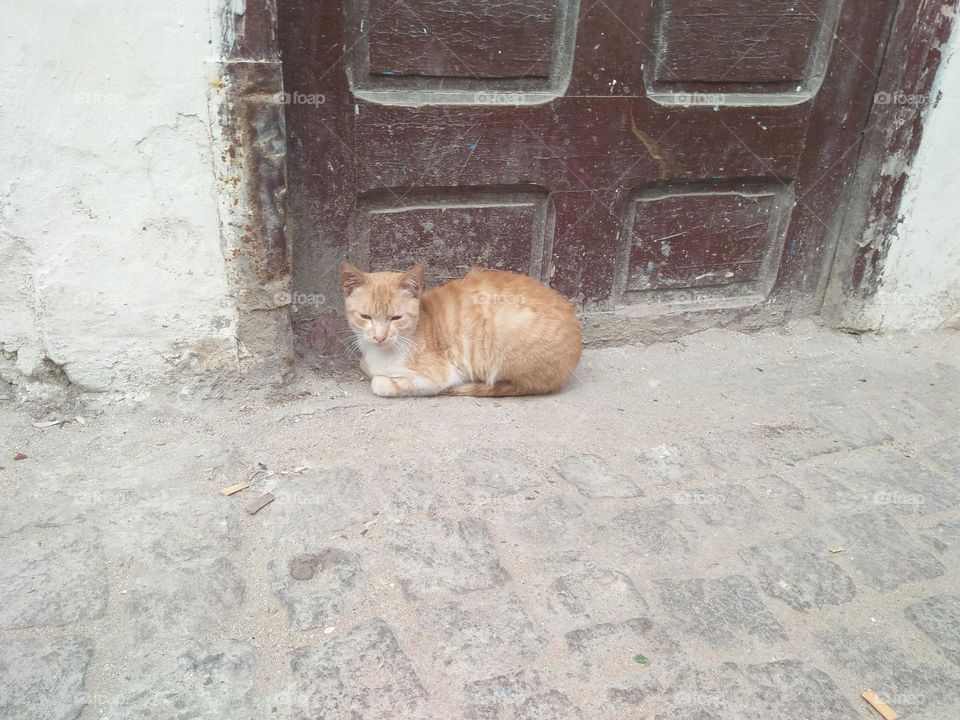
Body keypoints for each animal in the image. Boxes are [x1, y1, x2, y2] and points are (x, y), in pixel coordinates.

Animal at [342, 262, 580, 400]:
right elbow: (366, 365)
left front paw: (381, 377)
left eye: (395, 318)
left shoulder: (439, 376)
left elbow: (380, 382)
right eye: (366, 317)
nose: (379, 336)